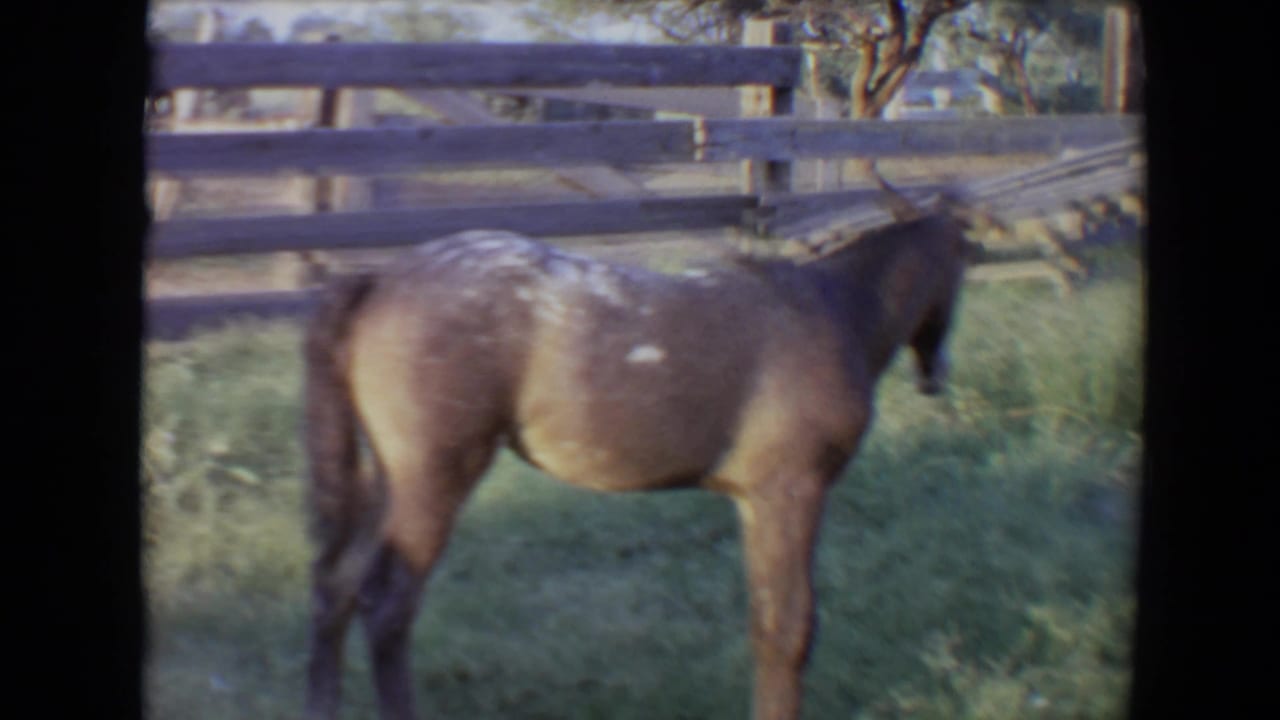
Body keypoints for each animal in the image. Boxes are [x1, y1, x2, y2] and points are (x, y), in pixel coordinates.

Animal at [302, 184, 983, 720]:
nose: (937, 373)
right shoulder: (791, 491)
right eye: (963, 264)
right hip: (433, 480)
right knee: (388, 607)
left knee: (337, 585)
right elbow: (790, 629)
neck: (829, 308)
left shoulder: (754, 501)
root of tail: (379, 278)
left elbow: (764, 623)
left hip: (387, 481)